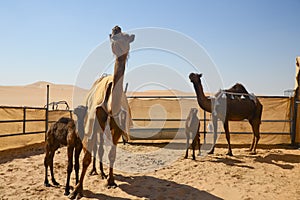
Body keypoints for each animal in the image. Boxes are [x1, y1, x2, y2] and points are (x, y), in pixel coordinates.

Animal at [69, 25, 135, 199]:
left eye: (125, 37)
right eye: (113, 36)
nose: (116, 28)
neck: (112, 105)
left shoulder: (117, 126)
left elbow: (112, 154)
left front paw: (111, 181)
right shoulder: (94, 119)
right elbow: (86, 157)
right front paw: (77, 190)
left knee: (100, 148)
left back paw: (102, 172)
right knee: (95, 147)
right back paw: (94, 171)